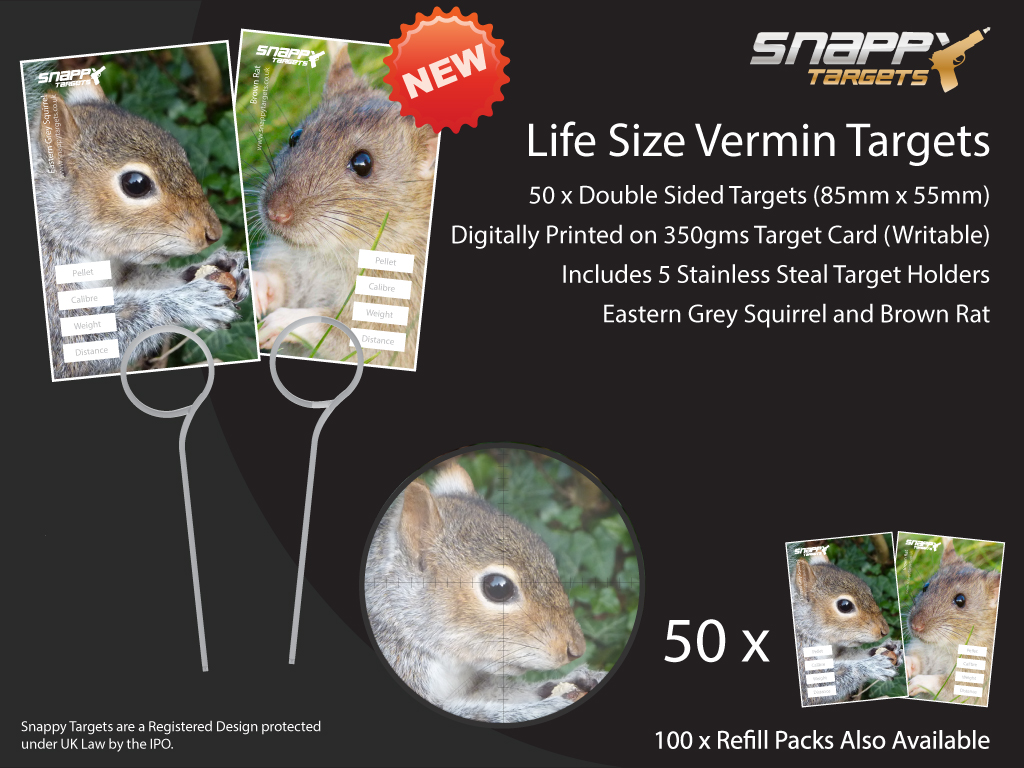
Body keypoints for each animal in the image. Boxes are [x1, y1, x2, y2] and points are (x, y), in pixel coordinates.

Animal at [27, 74, 250, 379]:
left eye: (181, 153)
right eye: (136, 184)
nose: (214, 234)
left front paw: (221, 266)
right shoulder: (52, 283)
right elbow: (80, 343)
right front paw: (186, 303)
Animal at [250, 41, 437, 368]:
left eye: (363, 164)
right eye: (295, 137)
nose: (274, 213)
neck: (330, 253)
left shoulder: (392, 316)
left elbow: (338, 330)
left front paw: (282, 322)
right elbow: (278, 283)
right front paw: (256, 284)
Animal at [364, 464, 606, 723]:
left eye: (549, 558)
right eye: (498, 588)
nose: (577, 649)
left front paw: (571, 680)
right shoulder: (399, 660)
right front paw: (542, 708)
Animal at [790, 546, 903, 706]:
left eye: (868, 590)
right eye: (845, 606)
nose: (885, 631)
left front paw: (890, 648)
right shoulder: (802, 657)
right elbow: (817, 686)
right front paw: (870, 667)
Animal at [905, 537, 1000, 705]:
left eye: (960, 600)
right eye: (925, 587)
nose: (915, 626)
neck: (944, 646)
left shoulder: (975, 677)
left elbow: (945, 685)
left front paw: (919, 682)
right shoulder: (924, 651)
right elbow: (917, 662)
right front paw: (906, 662)